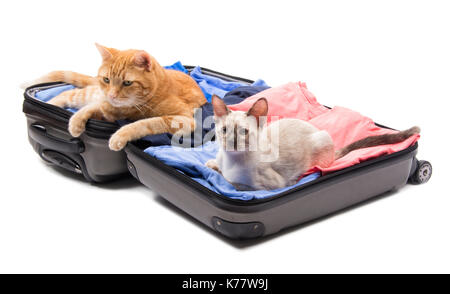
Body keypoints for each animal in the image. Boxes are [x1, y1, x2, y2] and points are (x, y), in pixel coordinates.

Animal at [33, 44, 206, 150]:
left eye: (127, 82)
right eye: (106, 79)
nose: (111, 95)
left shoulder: (185, 119)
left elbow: (147, 122)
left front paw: (120, 135)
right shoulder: (107, 105)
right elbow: (94, 108)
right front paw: (76, 121)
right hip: (91, 94)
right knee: (68, 94)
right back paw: (44, 104)